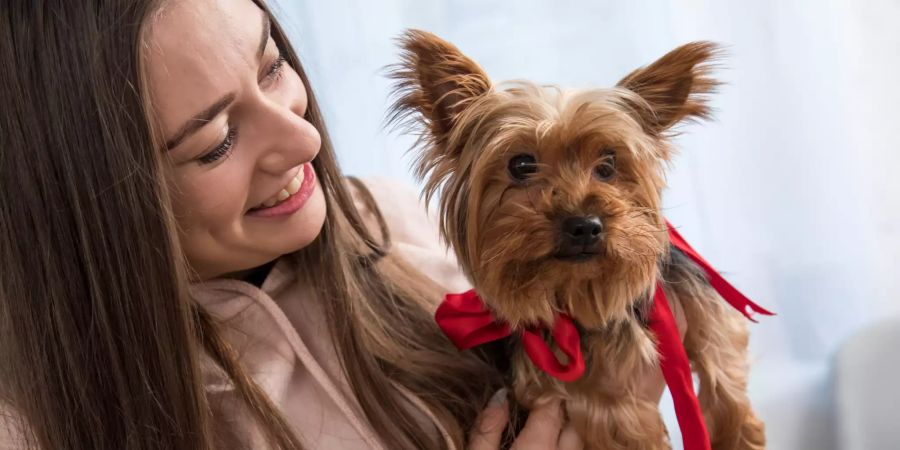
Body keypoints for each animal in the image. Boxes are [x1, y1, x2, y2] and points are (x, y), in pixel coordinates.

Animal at [386, 29, 768, 448]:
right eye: (521, 164)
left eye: (609, 164)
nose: (585, 224)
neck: (577, 291)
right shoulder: (562, 383)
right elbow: (613, 410)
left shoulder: (696, 296)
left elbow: (723, 359)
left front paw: (740, 434)